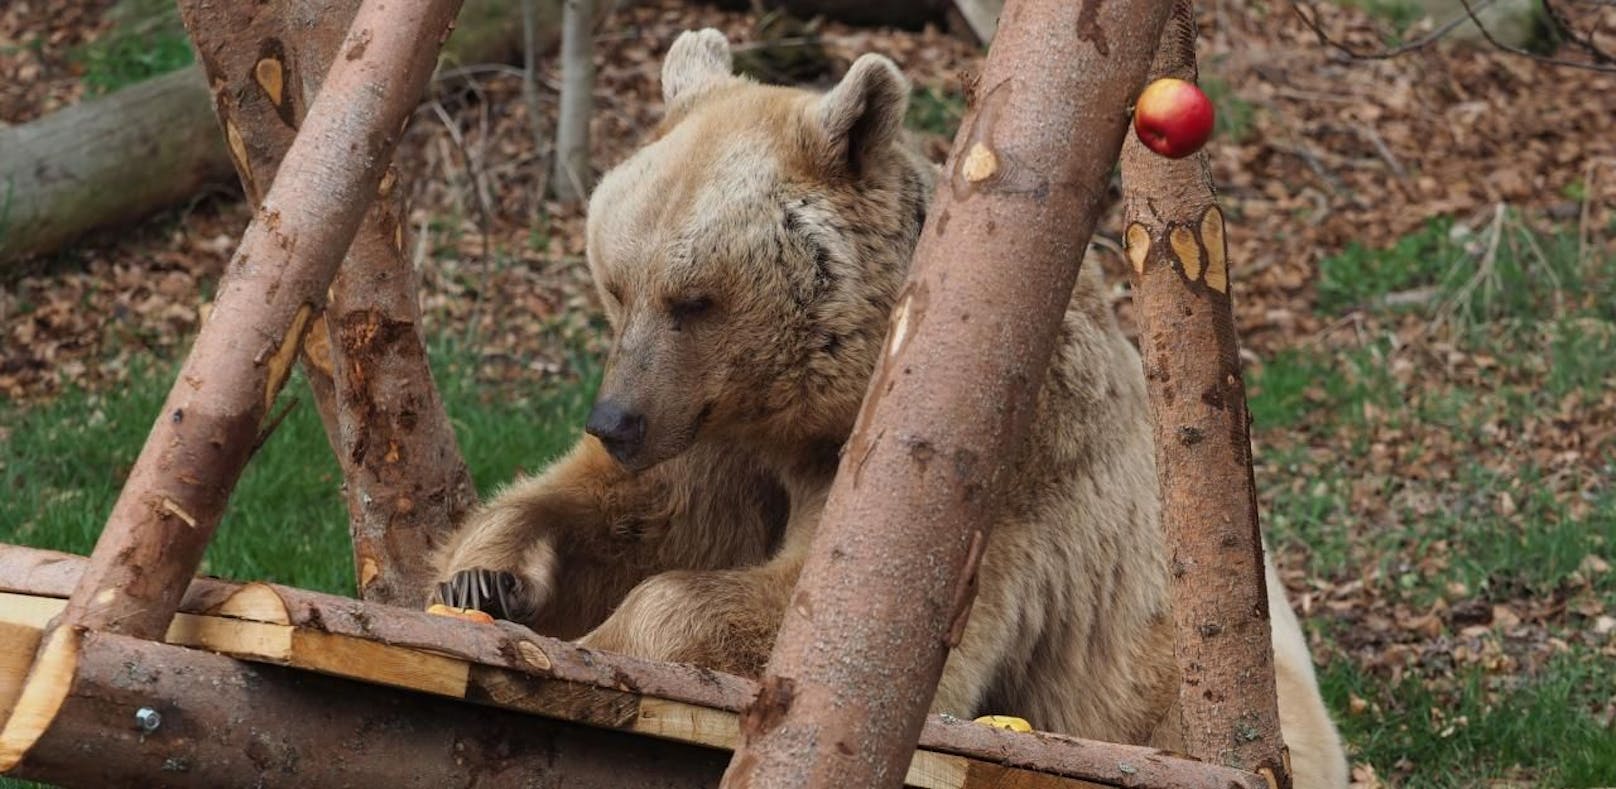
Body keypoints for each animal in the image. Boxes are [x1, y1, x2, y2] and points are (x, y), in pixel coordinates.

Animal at [433, 27, 1350, 785]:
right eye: (617, 284)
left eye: (693, 300)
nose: (615, 421)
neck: (823, 400)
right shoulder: (722, 439)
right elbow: (626, 509)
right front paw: (485, 575)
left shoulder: (1000, 474)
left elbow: (810, 615)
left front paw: (610, 638)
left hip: (1172, 681)